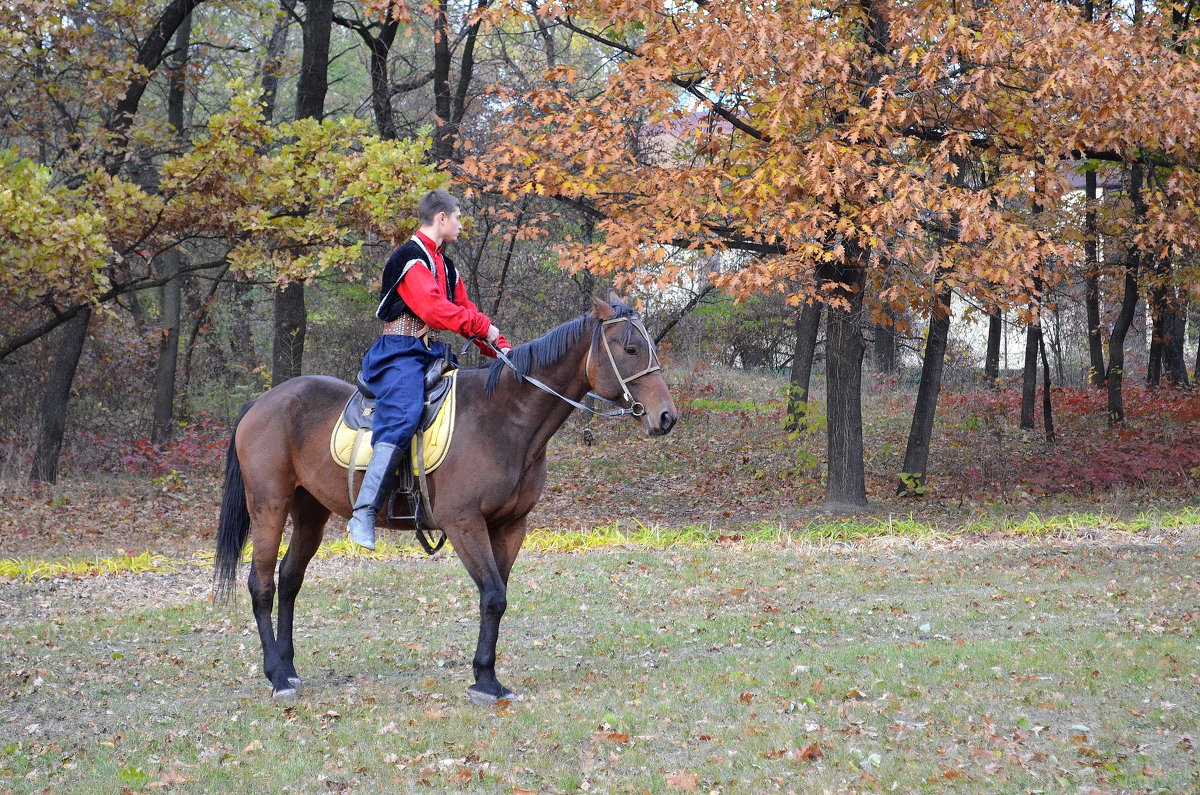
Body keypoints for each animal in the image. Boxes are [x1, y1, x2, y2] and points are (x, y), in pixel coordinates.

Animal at [214, 297, 681, 706]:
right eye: (631, 348)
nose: (666, 417)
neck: (505, 419)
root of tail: (262, 402)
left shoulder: (510, 526)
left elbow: (497, 598)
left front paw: (487, 676)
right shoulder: (463, 524)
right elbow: (492, 594)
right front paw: (485, 683)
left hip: (310, 511)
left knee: (290, 579)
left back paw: (290, 668)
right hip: (269, 506)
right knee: (261, 583)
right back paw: (276, 676)